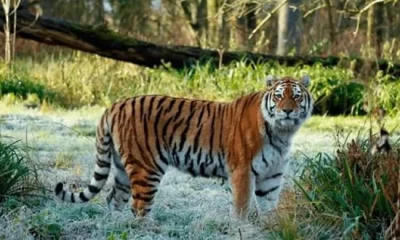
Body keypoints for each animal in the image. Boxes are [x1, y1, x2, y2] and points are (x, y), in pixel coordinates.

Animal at [54, 74, 314, 220]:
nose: (287, 111)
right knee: (139, 207)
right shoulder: (242, 171)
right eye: (279, 96)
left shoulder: (271, 177)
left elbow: (269, 209)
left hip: (122, 169)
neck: (282, 133)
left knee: (114, 199)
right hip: (146, 168)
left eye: (296, 96)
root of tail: (116, 104)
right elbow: (241, 209)